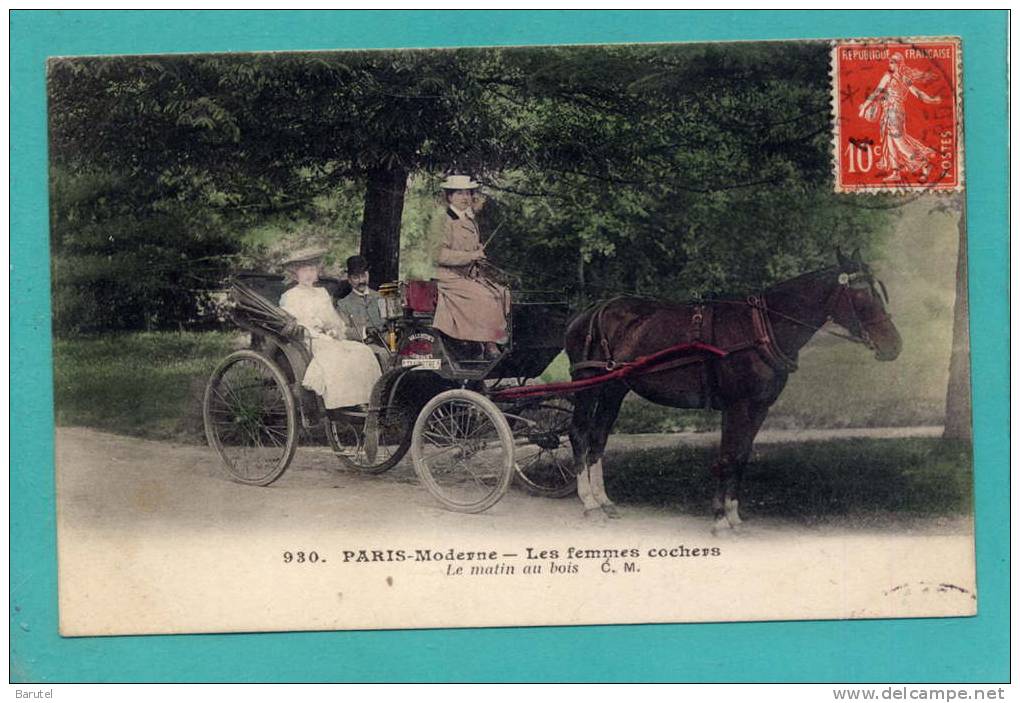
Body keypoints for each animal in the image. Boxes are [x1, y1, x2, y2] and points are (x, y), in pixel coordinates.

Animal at [567, 249, 901, 530]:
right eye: (861, 295)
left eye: (879, 291)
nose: (894, 345)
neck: (760, 329)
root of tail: (593, 310)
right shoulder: (736, 405)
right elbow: (727, 457)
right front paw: (719, 519)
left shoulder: (758, 407)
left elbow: (740, 457)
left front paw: (733, 515)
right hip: (587, 383)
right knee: (580, 434)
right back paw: (589, 503)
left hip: (613, 389)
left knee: (598, 437)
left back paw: (604, 501)